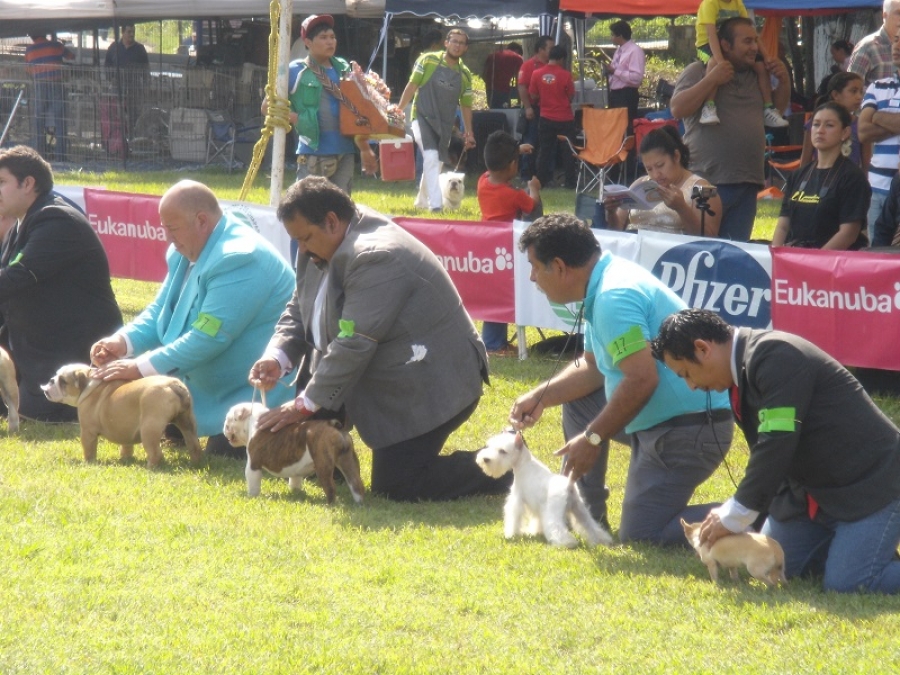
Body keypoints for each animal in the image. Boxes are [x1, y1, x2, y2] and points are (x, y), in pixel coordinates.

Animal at [474, 434, 616, 548]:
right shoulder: (538, 507)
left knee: (557, 528)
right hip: (579, 510)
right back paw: (602, 540)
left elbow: (514, 517)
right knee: (590, 526)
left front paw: (511, 534)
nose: (485, 459)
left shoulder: (517, 499)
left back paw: (567, 543)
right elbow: (537, 520)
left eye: (502, 451)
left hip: (555, 512)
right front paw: (536, 531)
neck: (524, 464)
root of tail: (568, 485)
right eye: (489, 446)